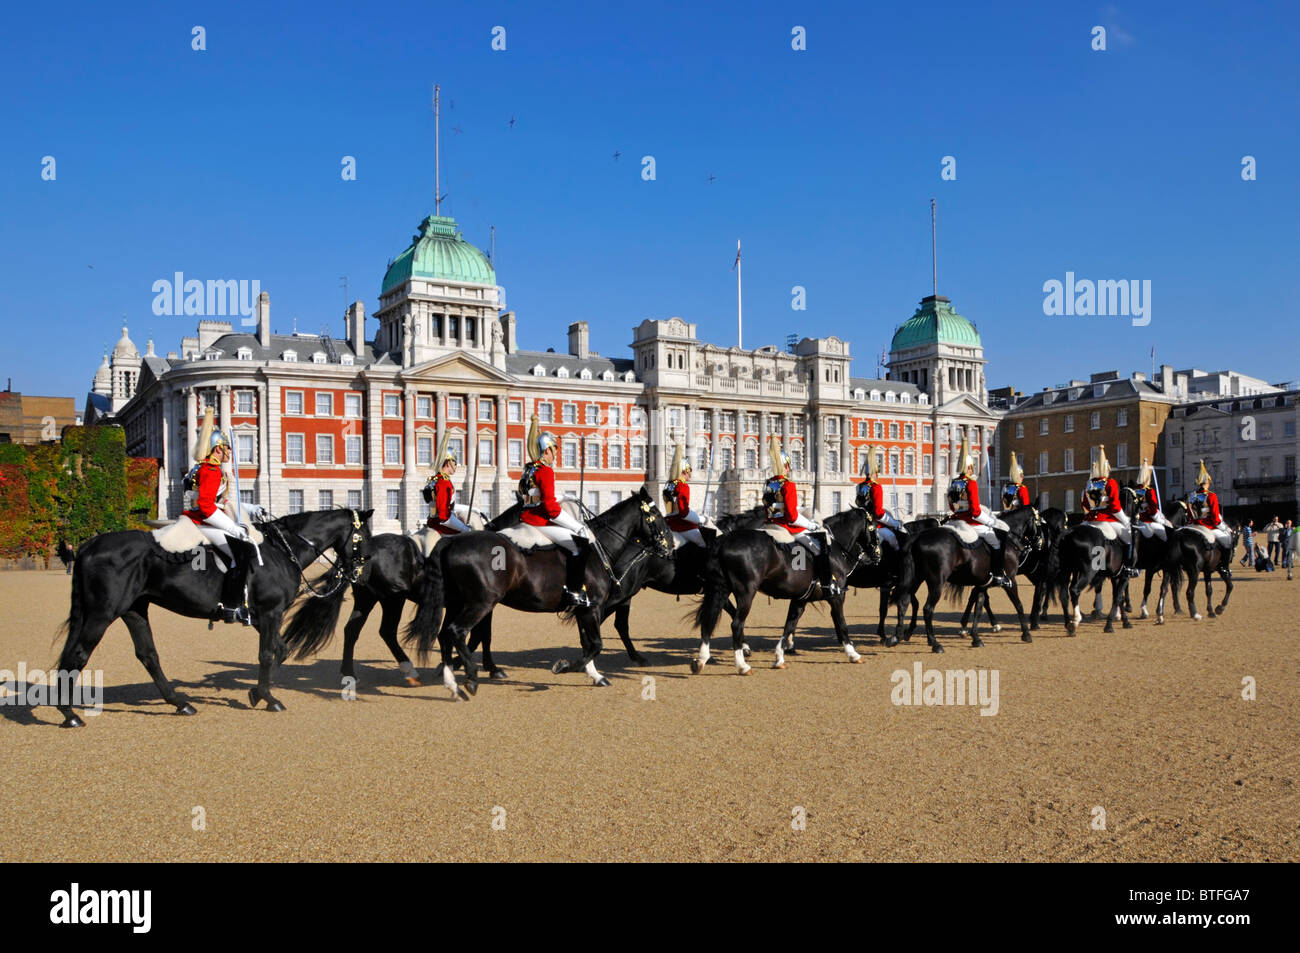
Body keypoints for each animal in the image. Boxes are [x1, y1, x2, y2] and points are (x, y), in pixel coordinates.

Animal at [52, 509, 371, 722]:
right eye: (363, 535)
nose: (361, 570)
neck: (281, 550)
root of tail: (90, 545)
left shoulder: (261, 616)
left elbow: (279, 650)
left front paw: (257, 692)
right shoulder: (270, 612)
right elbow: (267, 653)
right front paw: (268, 697)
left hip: (134, 610)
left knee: (147, 655)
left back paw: (179, 703)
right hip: (102, 614)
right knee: (78, 654)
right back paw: (68, 713)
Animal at [403, 486, 670, 696]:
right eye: (656, 514)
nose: (670, 547)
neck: (598, 547)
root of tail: (451, 541)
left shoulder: (584, 610)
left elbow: (589, 643)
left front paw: (593, 674)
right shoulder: (591, 608)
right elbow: (595, 644)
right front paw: (565, 667)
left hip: (461, 603)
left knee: (445, 635)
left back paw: (451, 679)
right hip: (479, 604)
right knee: (456, 632)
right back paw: (470, 677)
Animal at [691, 504, 873, 670]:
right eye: (873, 526)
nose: (876, 555)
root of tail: (723, 541)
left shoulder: (800, 599)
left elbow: (789, 625)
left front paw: (780, 656)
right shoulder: (836, 596)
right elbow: (841, 622)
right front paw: (852, 653)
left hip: (720, 590)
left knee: (708, 621)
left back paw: (702, 659)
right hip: (746, 593)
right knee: (736, 624)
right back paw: (742, 665)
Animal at [889, 504, 1040, 655]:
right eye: (1039, 522)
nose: (1039, 543)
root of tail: (919, 536)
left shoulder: (982, 585)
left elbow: (978, 608)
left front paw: (975, 638)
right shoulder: (1010, 581)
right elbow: (1018, 605)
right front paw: (1026, 634)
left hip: (915, 579)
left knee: (904, 601)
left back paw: (897, 636)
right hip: (937, 583)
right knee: (927, 609)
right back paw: (935, 643)